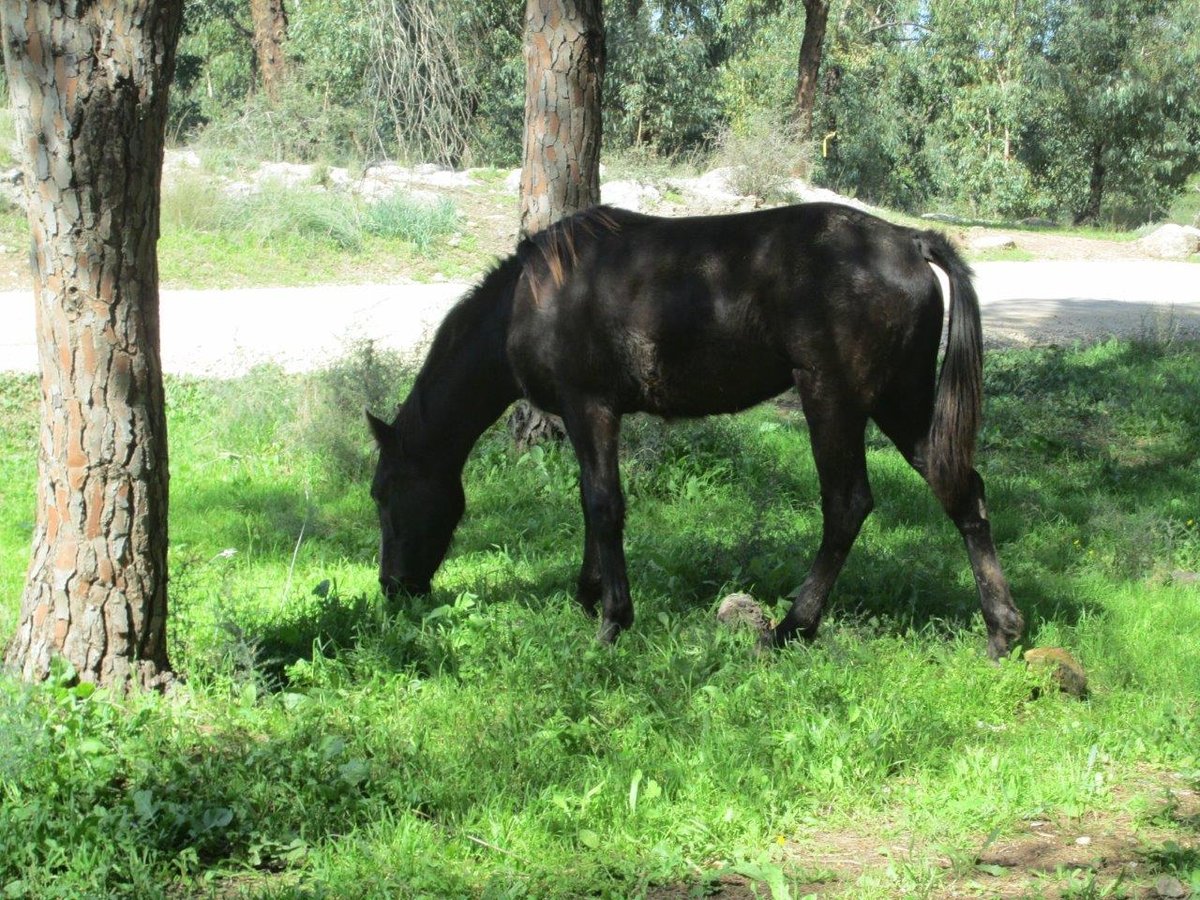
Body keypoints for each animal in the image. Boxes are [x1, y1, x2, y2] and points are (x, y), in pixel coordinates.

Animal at [364, 202, 1022, 657]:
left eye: (383, 493)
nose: (392, 587)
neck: (533, 297)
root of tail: (909, 241)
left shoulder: (589, 408)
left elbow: (603, 505)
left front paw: (612, 619)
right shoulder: (592, 417)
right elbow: (591, 505)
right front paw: (589, 595)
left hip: (833, 401)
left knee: (847, 505)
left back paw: (792, 627)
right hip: (900, 401)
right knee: (962, 490)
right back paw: (1002, 629)